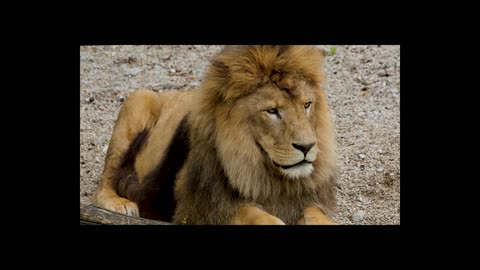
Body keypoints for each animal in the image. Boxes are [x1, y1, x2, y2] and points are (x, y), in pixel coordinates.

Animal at [92, 45, 336, 225]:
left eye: (307, 105)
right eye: (272, 111)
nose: (307, 147)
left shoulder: (304, 200)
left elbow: (318, 217)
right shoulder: (198, 207)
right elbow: (255, 215)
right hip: (139, 99)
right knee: (104, 183)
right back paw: (120, 204)